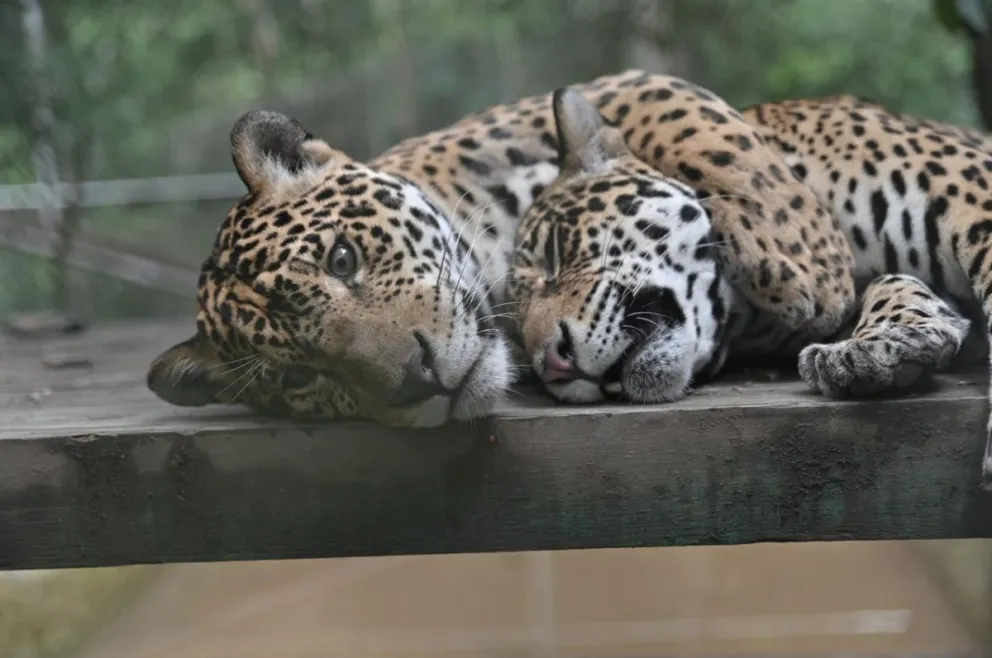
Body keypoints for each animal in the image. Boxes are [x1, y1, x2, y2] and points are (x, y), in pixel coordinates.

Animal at [146, 70, 856, 429]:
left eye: (342, 259)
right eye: (298, 378)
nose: (418, 378)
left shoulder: (609, 88)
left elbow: (688, 118)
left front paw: (806, 259)